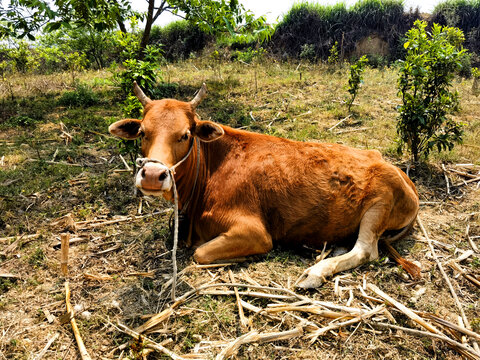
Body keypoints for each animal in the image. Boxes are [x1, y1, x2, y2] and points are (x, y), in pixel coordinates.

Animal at [109, 83, 420, 288]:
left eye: (185, 135)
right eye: (142, 132)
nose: (152, 174)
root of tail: (400, 172)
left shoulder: (255, 233)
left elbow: (200, 252)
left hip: (378, 207)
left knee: (367, 250)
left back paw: (315, 273)